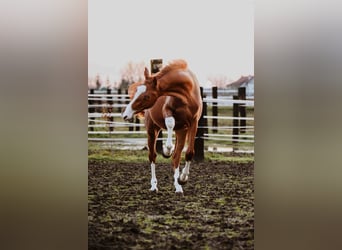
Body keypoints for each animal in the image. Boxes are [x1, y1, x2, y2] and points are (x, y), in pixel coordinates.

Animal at [122, 59, 202, 193]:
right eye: (137, 91)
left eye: (146, 96)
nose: (125, 115)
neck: (187, 93)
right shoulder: (167, 110)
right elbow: (170, 123)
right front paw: (167, 149)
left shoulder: (193, 122)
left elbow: (189, 152)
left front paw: (183, 178)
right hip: (152, 130)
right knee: (152, 156)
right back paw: (154, 186)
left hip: (181, 131)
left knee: (176, 157)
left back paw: (178, 187)